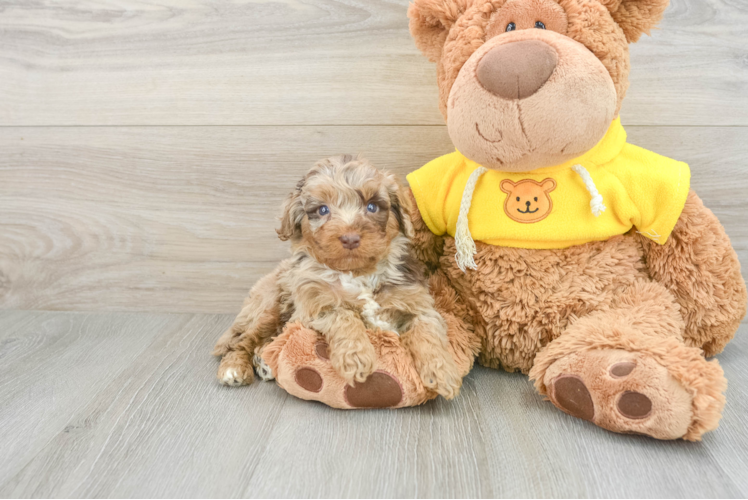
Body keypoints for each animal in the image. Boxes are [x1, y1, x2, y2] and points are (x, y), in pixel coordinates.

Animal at [212, 154, 462, 400]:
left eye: (372, 206)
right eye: (323, 210)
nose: (350, 238)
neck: (358, 274)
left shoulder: (416, 302)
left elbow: (428, 332)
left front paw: (443, 373)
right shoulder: (314, 306)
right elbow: (343, 315)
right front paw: (356, 357)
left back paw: (263, 362)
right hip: (270, 306)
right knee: (243, 340)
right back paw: (234, 368)